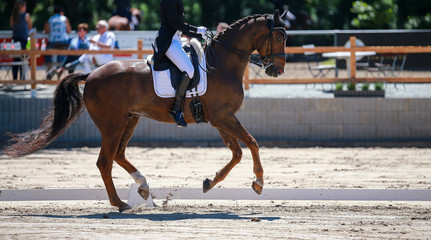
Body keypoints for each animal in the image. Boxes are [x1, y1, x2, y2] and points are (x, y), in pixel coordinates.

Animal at [5, 10, 288, 211]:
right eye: (279, 37)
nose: (277, 70)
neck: (222, 63)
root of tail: (92, 74)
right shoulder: (224, 117)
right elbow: (252, 143)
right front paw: (258, 183)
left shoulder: (219, 119)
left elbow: (237, 153)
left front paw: (209, 183)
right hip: (112, 124)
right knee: (105, 161)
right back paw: (120, 203)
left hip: (130, 120)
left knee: (119, 155)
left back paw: (142, 187)